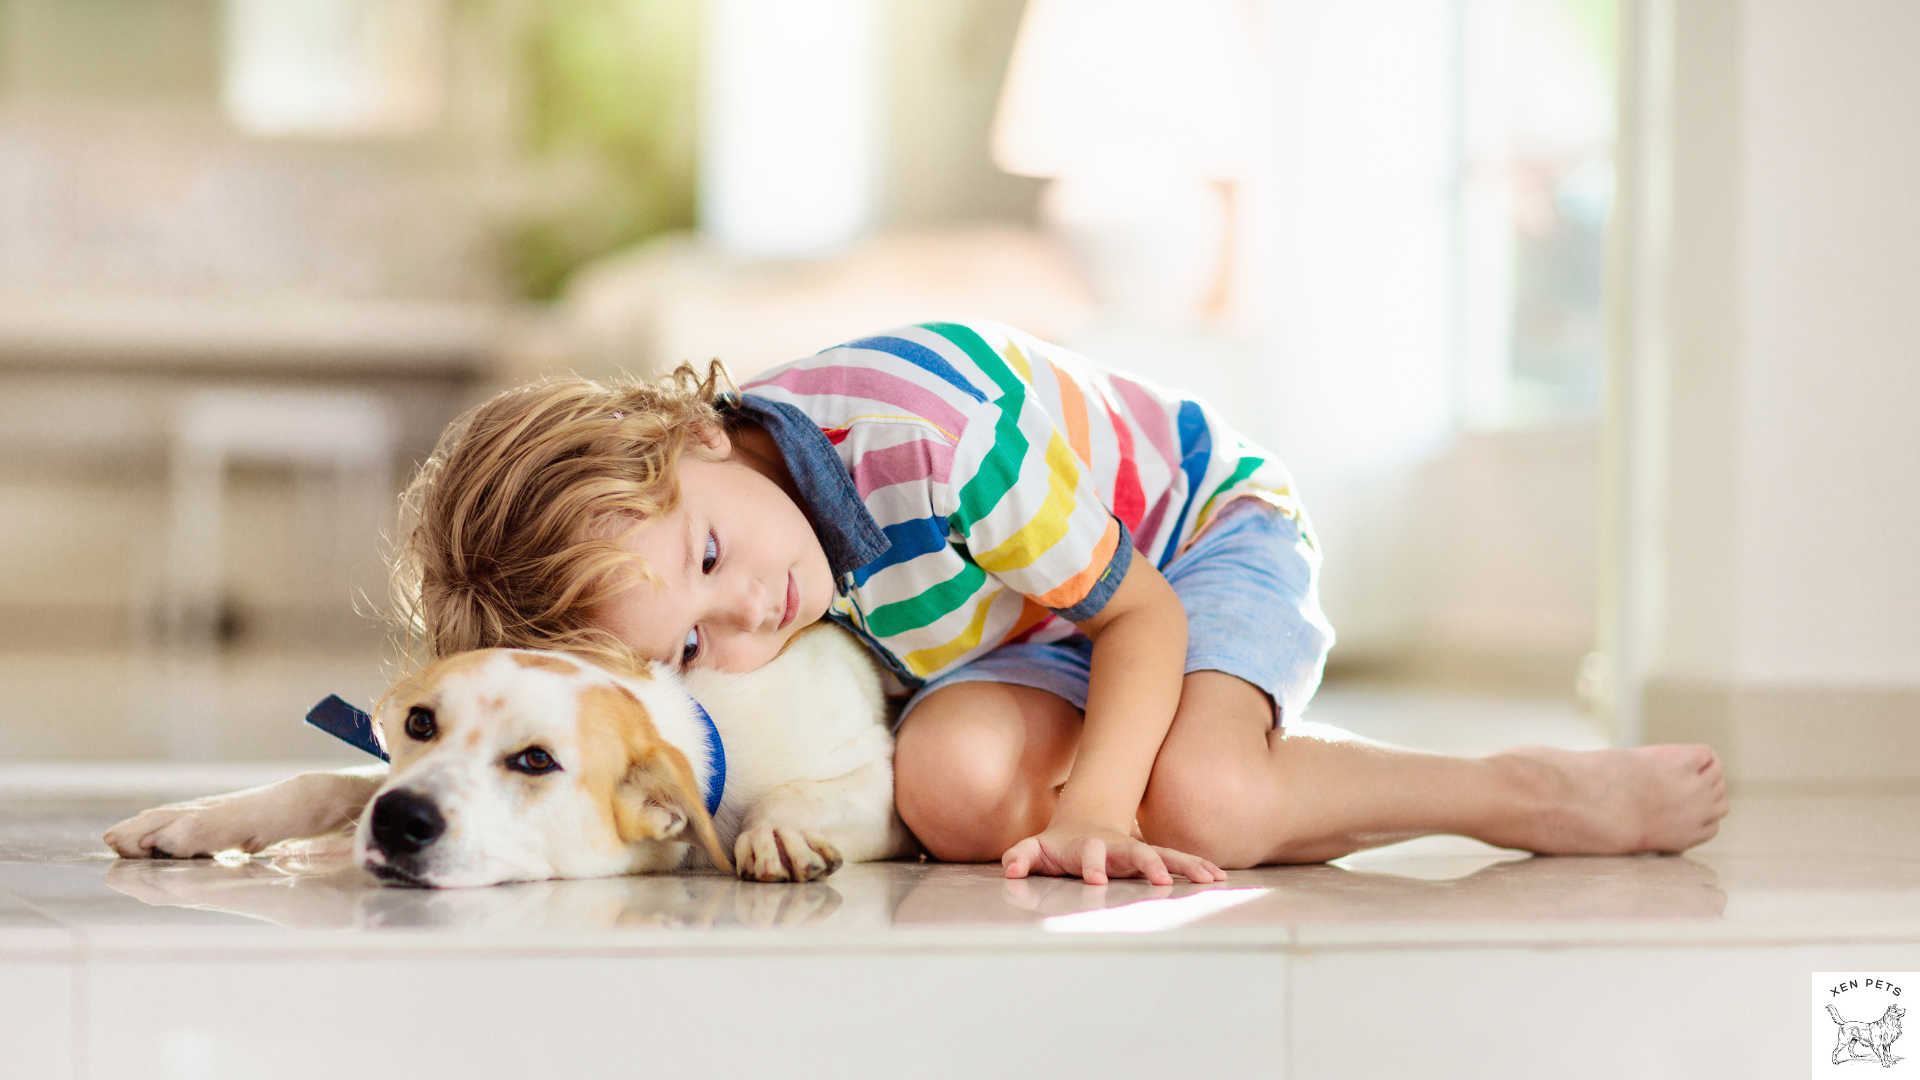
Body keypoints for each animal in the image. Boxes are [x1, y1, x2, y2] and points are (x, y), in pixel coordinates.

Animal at [105, 622, 913, 883]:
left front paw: (776, 833)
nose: (400, 820)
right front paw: (200, 817)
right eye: (420, 722)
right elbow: (323, 782)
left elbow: (801, 793)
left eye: (536, 761)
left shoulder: (882, 789)